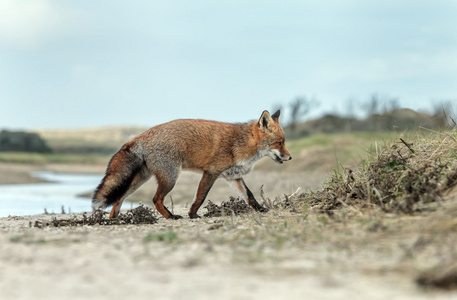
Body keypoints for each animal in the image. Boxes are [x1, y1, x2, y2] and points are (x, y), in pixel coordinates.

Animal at [92, 110, 290, 218]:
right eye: (279, 143)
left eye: (284, 142)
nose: (290, 157)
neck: (241, 143)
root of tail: (140, 136)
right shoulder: (210, 172)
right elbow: (200, 197)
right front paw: (193, 215)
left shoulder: (233, 177)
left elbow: (250, 196)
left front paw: (262, 210)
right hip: (170, 178)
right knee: (155, 199)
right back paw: (171, 217)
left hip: (141, 180)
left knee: (120, 197)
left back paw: (114, 219)